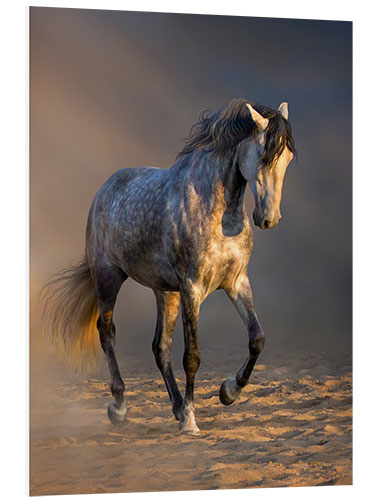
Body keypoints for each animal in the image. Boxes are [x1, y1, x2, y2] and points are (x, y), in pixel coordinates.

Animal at [43, 96, 296, 434]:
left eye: (288, 157)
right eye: (265, 156)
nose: (268, 218)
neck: (220, 213)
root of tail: (104, 191)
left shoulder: (236, 282)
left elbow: (257, 338)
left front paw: (228, 391)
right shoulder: (193, 289)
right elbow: (192, 356)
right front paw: (191, 421)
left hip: (166, 293)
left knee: (159, 347)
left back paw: (175, 406)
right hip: (109, 277)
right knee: (107, 332)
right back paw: (120, 407)